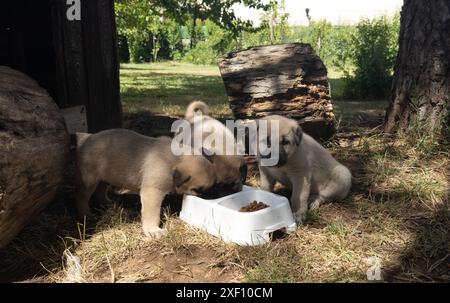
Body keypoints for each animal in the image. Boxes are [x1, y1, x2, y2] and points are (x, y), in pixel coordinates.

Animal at [75, 129, 216, 239]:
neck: (174, 160)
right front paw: (153, 230)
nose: (210, 196)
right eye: (198, 190)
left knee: (100, 192)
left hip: (104, 177)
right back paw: (86, 215)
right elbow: (152, 214)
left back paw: (108, 204)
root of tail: (87, 138)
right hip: (89, 181)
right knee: (82, 197)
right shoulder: (152, 193)